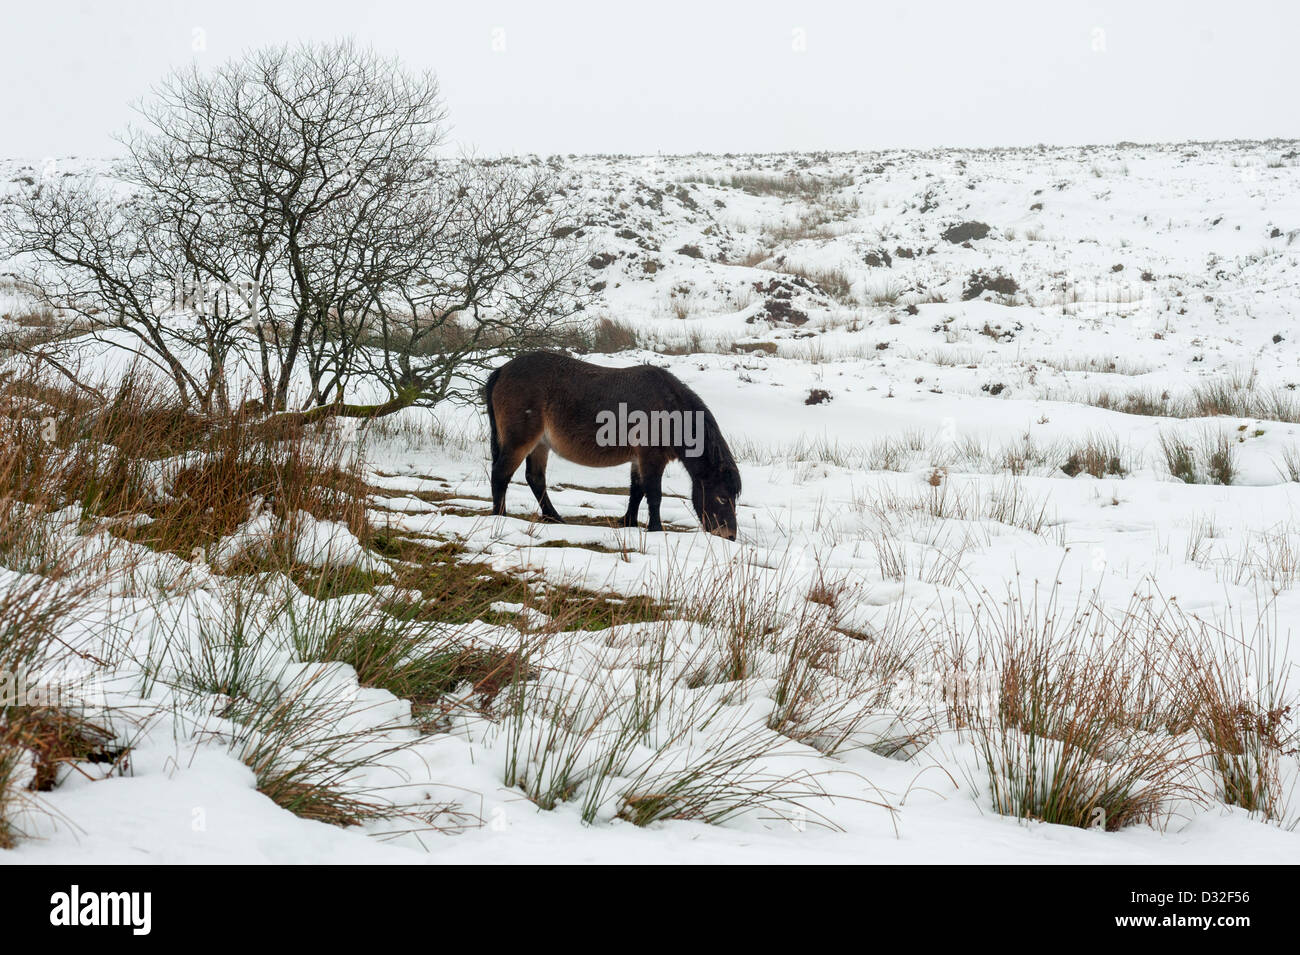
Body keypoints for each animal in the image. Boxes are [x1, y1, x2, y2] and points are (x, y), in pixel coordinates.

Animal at [480, 356, 743, 540]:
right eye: (722, 497)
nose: (729, 536)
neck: (671, 410)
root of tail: (502, 370)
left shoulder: (639, 459)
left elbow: (637, 492)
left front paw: (628, 522)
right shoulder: (651, 457)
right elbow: (654, 494)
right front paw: (656, 529)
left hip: (540, 444)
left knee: (535, 478)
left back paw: (553, 518)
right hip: (521, 441)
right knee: (501, 474)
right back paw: (500, 515)